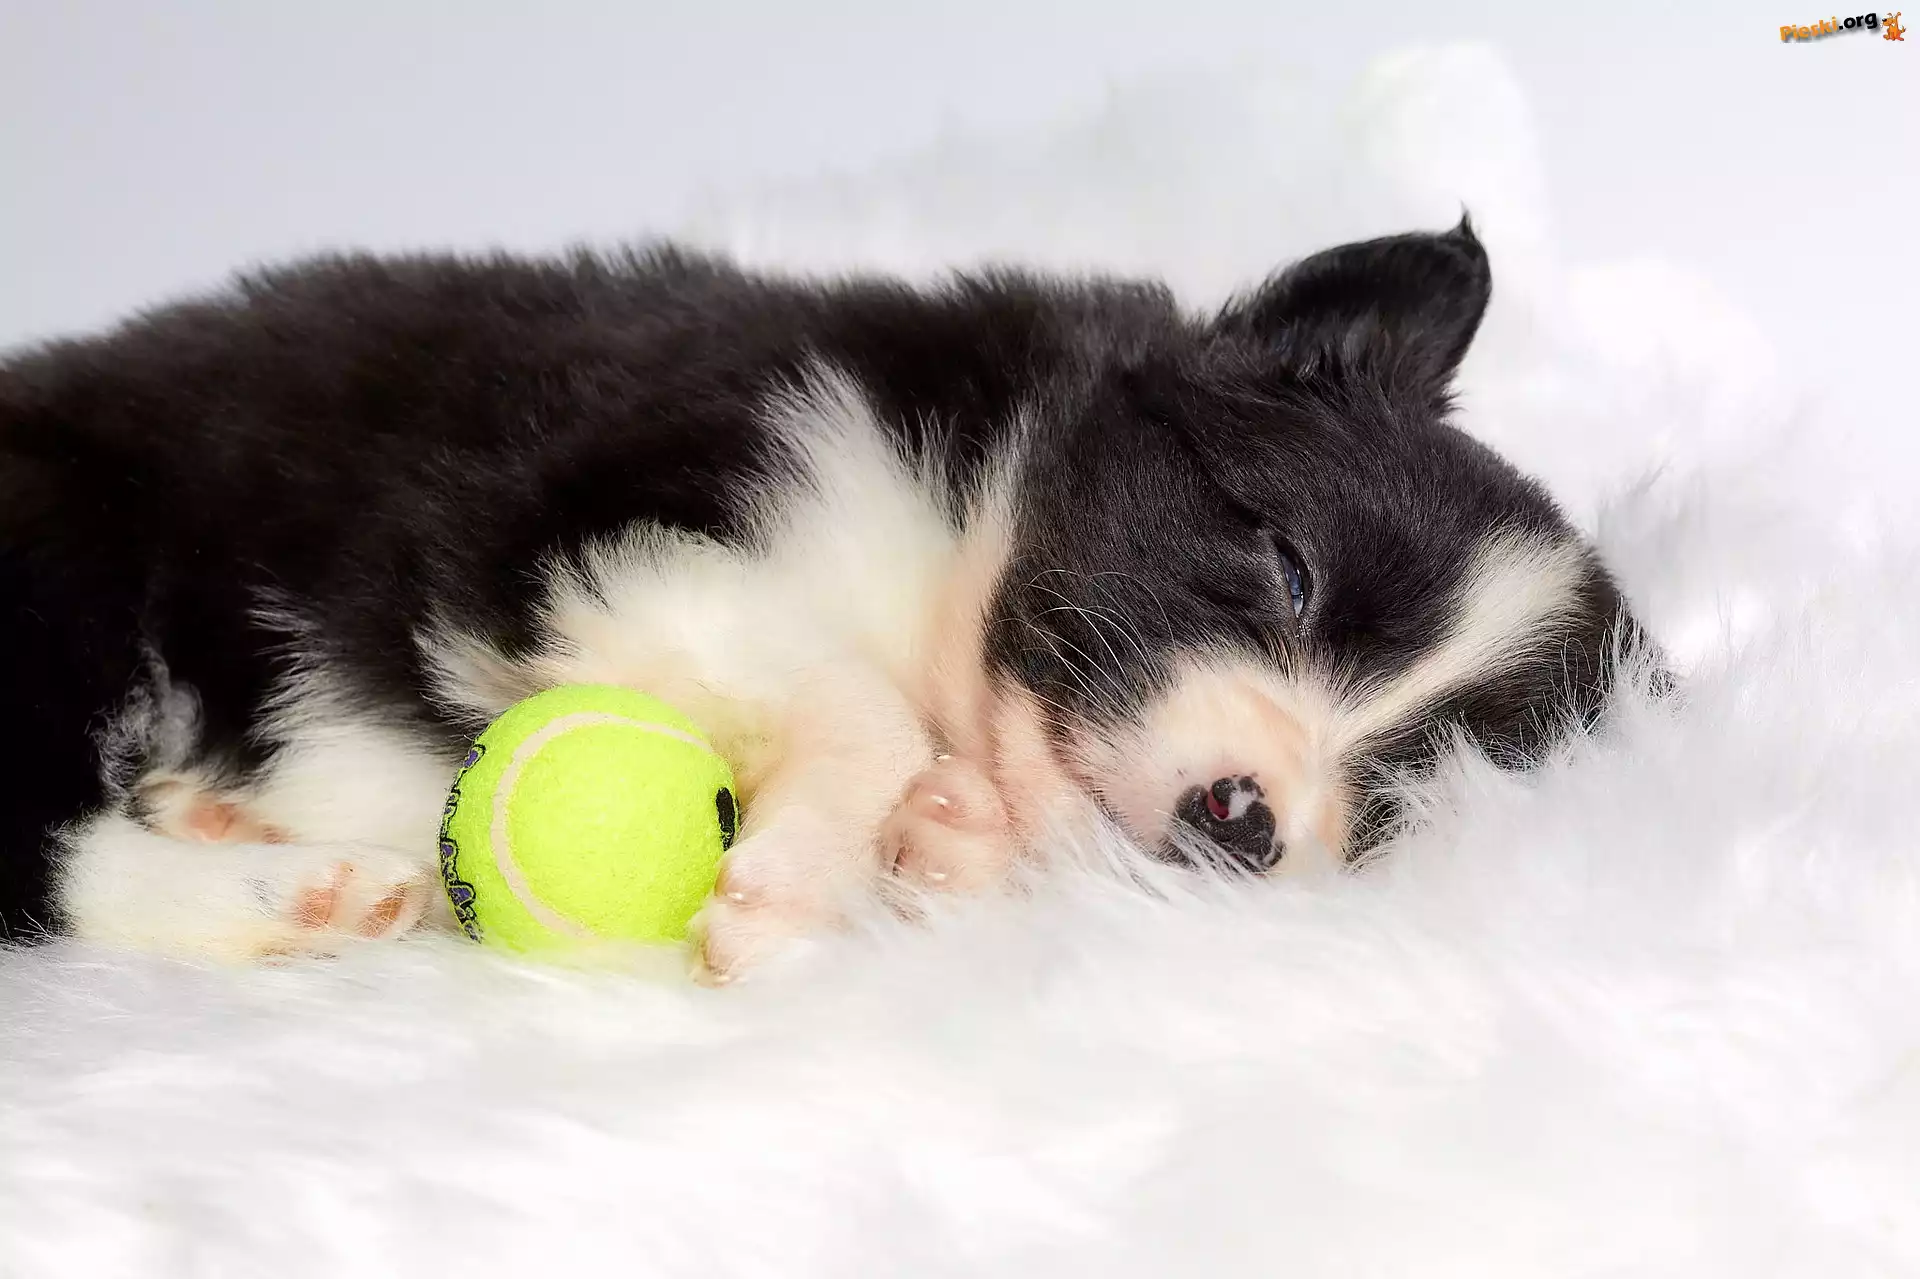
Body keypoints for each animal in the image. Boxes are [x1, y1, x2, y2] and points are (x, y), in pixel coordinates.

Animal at [0, 219, 1633, 978]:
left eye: (1406, 793)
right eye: (1288, 568)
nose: (1242, 816)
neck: (952, 524)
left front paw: (950, 842)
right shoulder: (599, 517)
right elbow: (852, 701)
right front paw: (793, 881)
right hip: (64, 559)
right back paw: (288, 887)